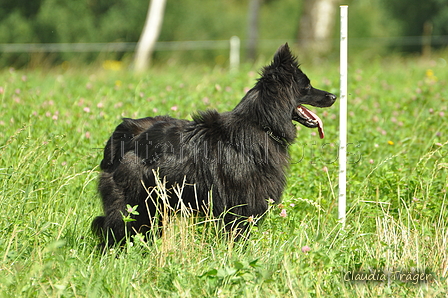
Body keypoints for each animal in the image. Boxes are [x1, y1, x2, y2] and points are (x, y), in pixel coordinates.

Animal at [92, 43, 336, 244]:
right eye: (307, 86)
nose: (334, 96)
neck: (261, 123)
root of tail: (122, 133)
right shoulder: (240, 206)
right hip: (136, 205)